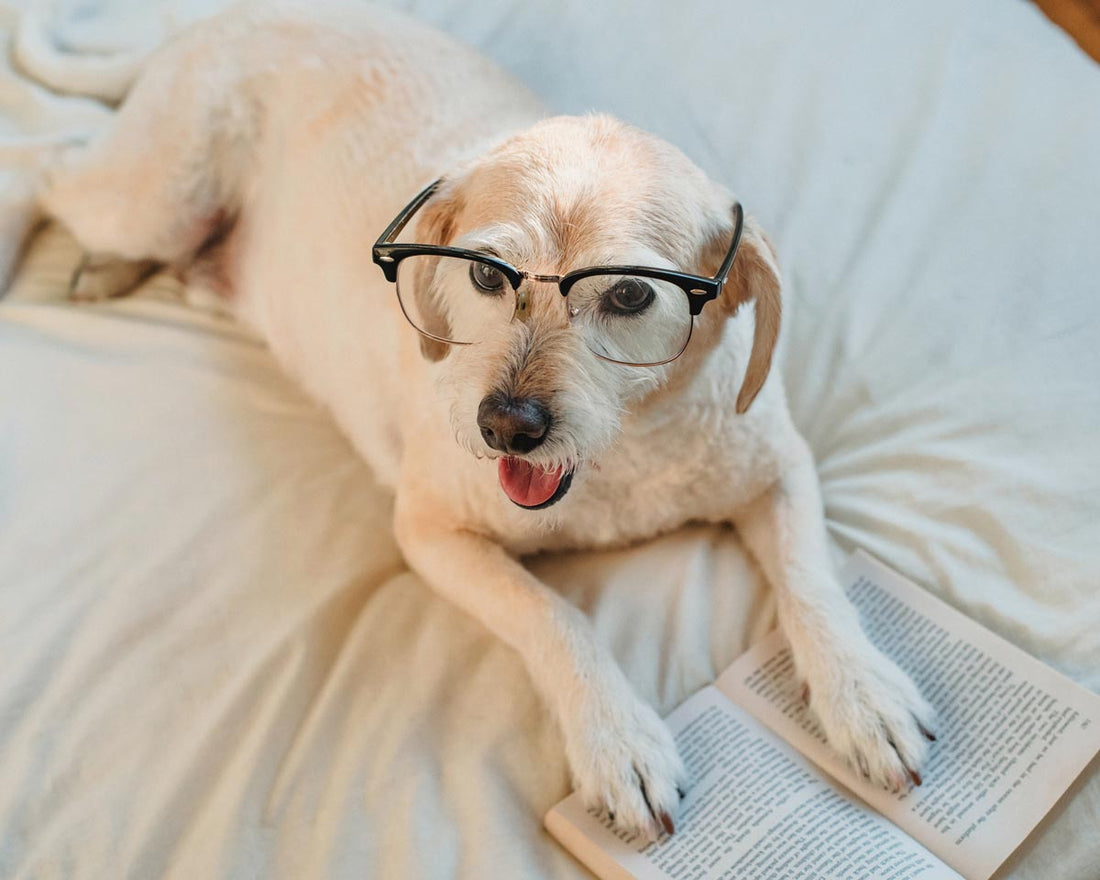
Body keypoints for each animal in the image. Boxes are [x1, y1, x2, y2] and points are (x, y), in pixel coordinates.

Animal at [30, 0, 932, 840]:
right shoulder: (431, 535)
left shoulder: (780, 469)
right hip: (156, 193)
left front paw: (862, 691)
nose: (506, 426)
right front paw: (617, 739)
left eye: (631, 294)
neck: (623, 458)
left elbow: (813, 581)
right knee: (47, 161)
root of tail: (221, 18)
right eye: (487, 276)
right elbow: (554, 616)